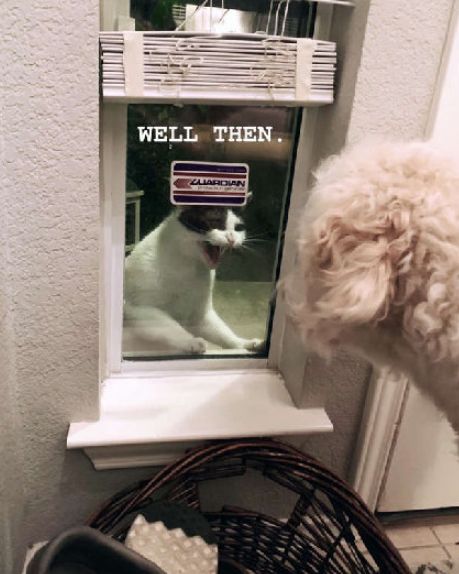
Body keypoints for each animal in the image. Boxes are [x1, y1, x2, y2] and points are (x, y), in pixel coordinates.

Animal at [124, 206, 263, 355]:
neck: (188, 268)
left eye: (238, 228)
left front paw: (244, 343)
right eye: (215, 222)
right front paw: (190, 341)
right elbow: (172, 326)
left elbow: (224, 333)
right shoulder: (141, 309)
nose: (231, 238)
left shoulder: (200, 315)